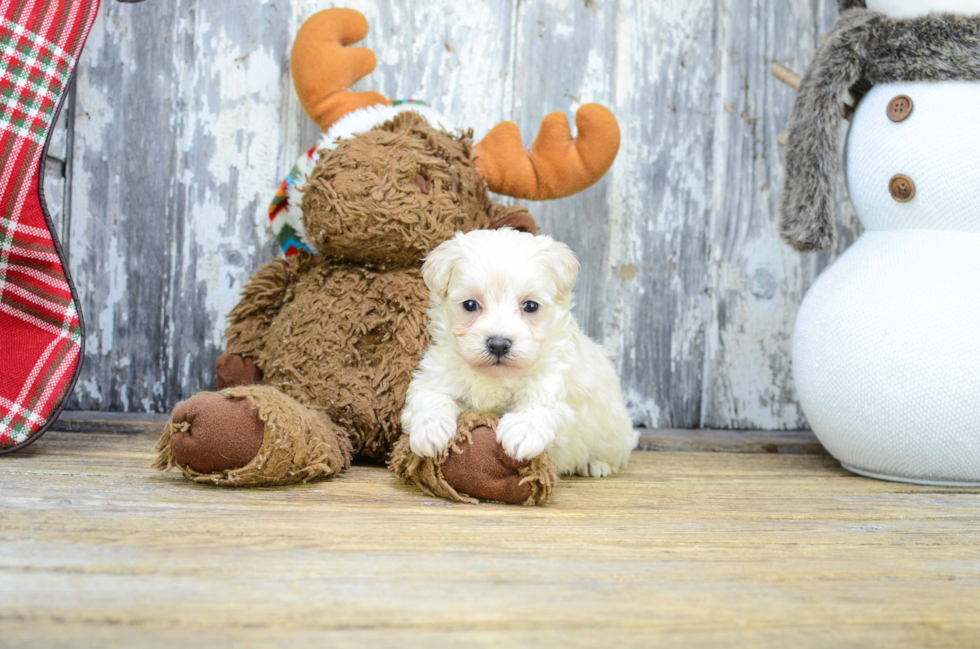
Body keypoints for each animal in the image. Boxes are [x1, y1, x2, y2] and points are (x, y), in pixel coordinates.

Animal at [402, 228, 640, 476]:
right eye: (470, 305)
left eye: (531, 306)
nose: (498, 344)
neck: (496, 377)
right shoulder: (436, 375)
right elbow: (430, 397)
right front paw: (430, 430)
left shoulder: (553, 381)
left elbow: (540, 405)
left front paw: (522, 431)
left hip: (615, 433)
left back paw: (595, 464)